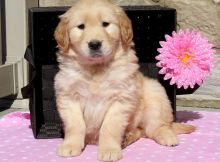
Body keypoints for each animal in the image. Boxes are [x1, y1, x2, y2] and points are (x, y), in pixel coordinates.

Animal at [54, 0, 195, 161]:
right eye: (81, 26)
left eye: (105, 24)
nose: (94, 44)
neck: (96, 68)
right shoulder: (69, 96)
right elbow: (75, 125)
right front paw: (70, 145)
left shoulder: (120, 99)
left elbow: (109, 127)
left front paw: (109, 150)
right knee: (140, 131)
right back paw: (127, 138)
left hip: (155, 94)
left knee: (157, 126)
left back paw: (166, 136)